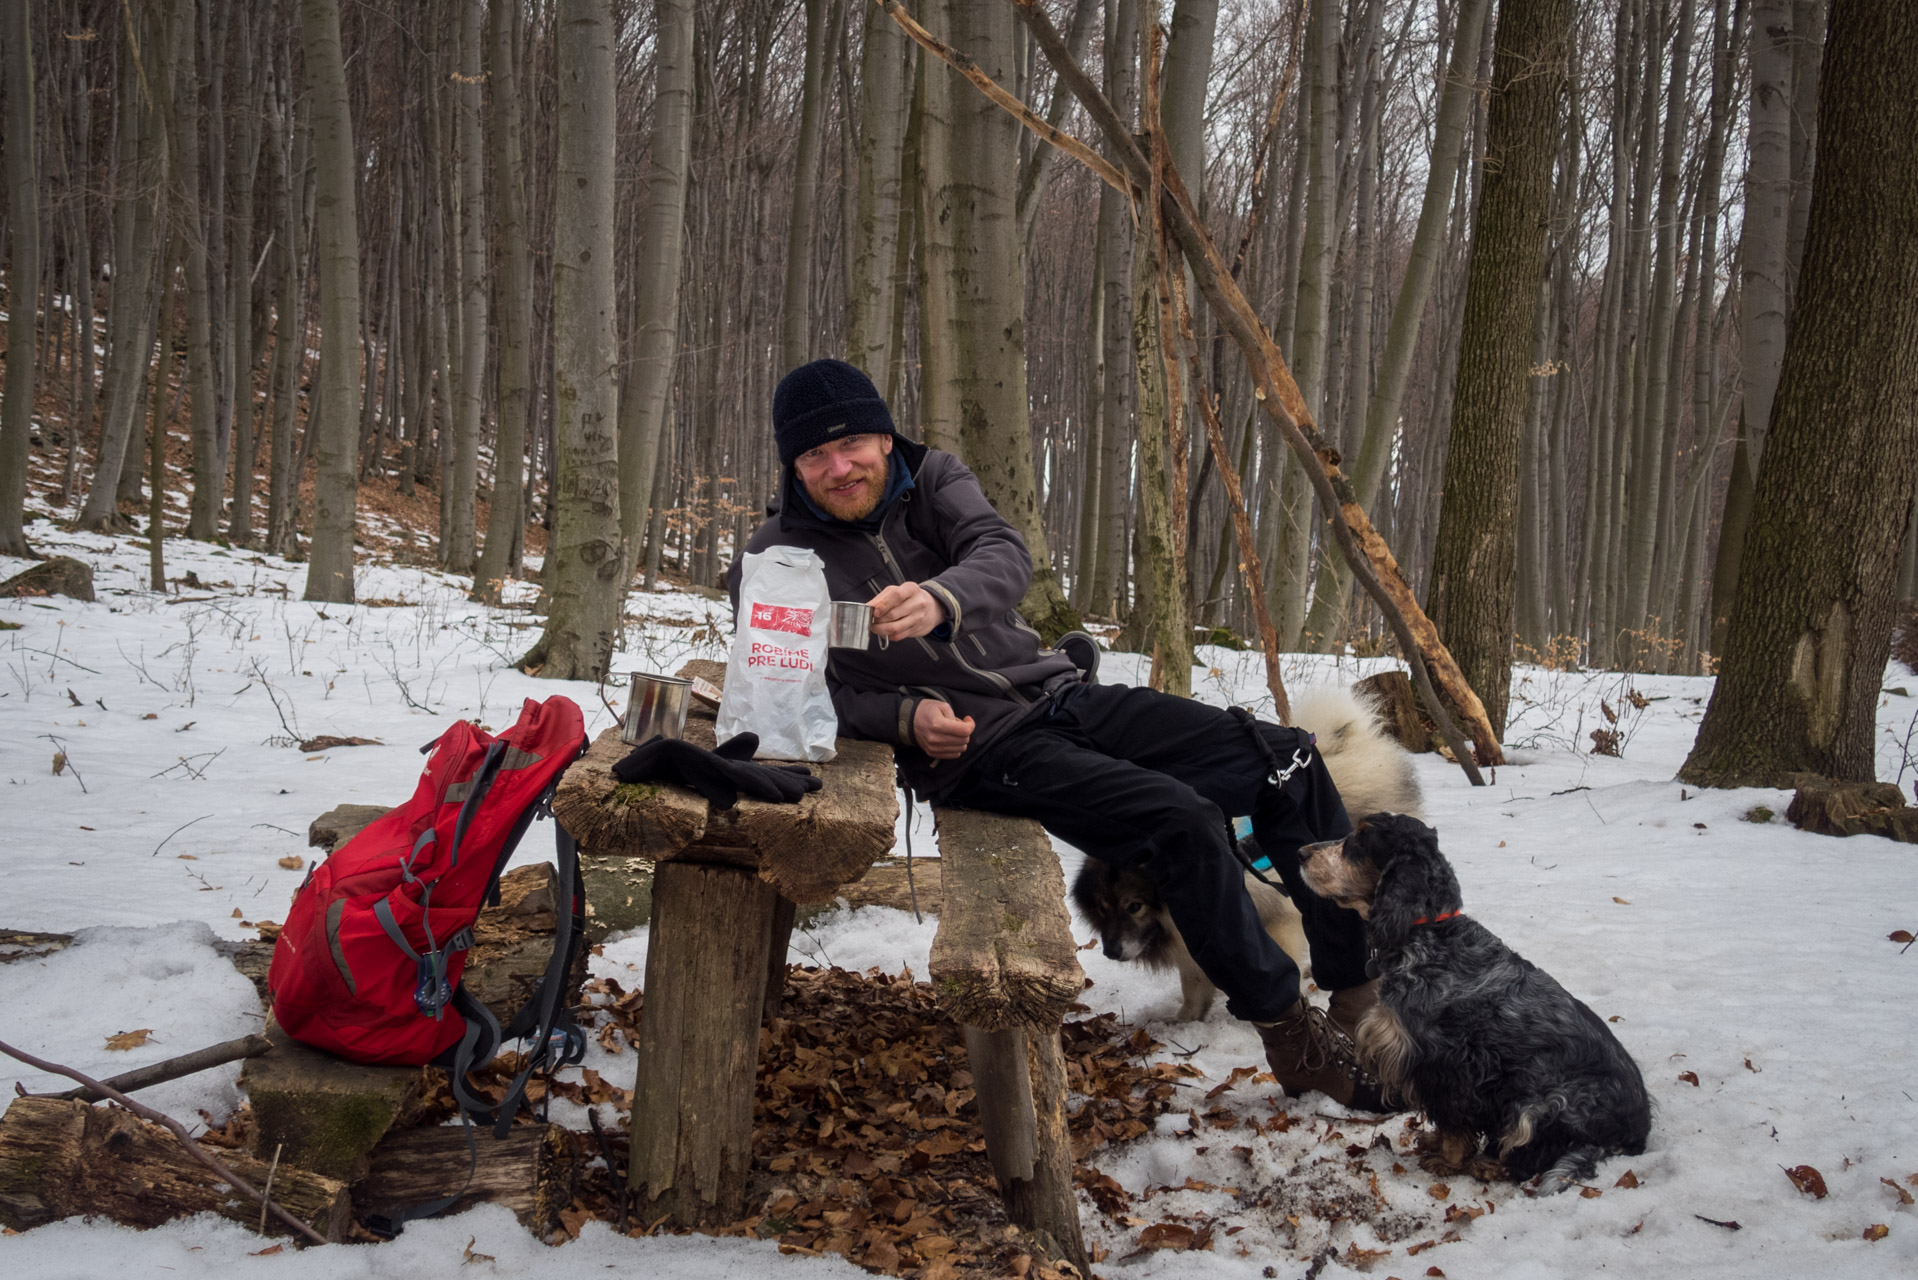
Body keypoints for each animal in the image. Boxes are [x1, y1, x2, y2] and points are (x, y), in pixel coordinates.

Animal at [1304, 809, 1649, 1189]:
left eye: (1361, 839)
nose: (1301, 853)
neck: (1429, 933)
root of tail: (1637, 1135)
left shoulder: (1448, 1065)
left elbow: (1455, 1122)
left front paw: (1448, 1161)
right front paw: (1435, 1143)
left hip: (1545, 1103)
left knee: (1536, 1154)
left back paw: (1492, 1165)